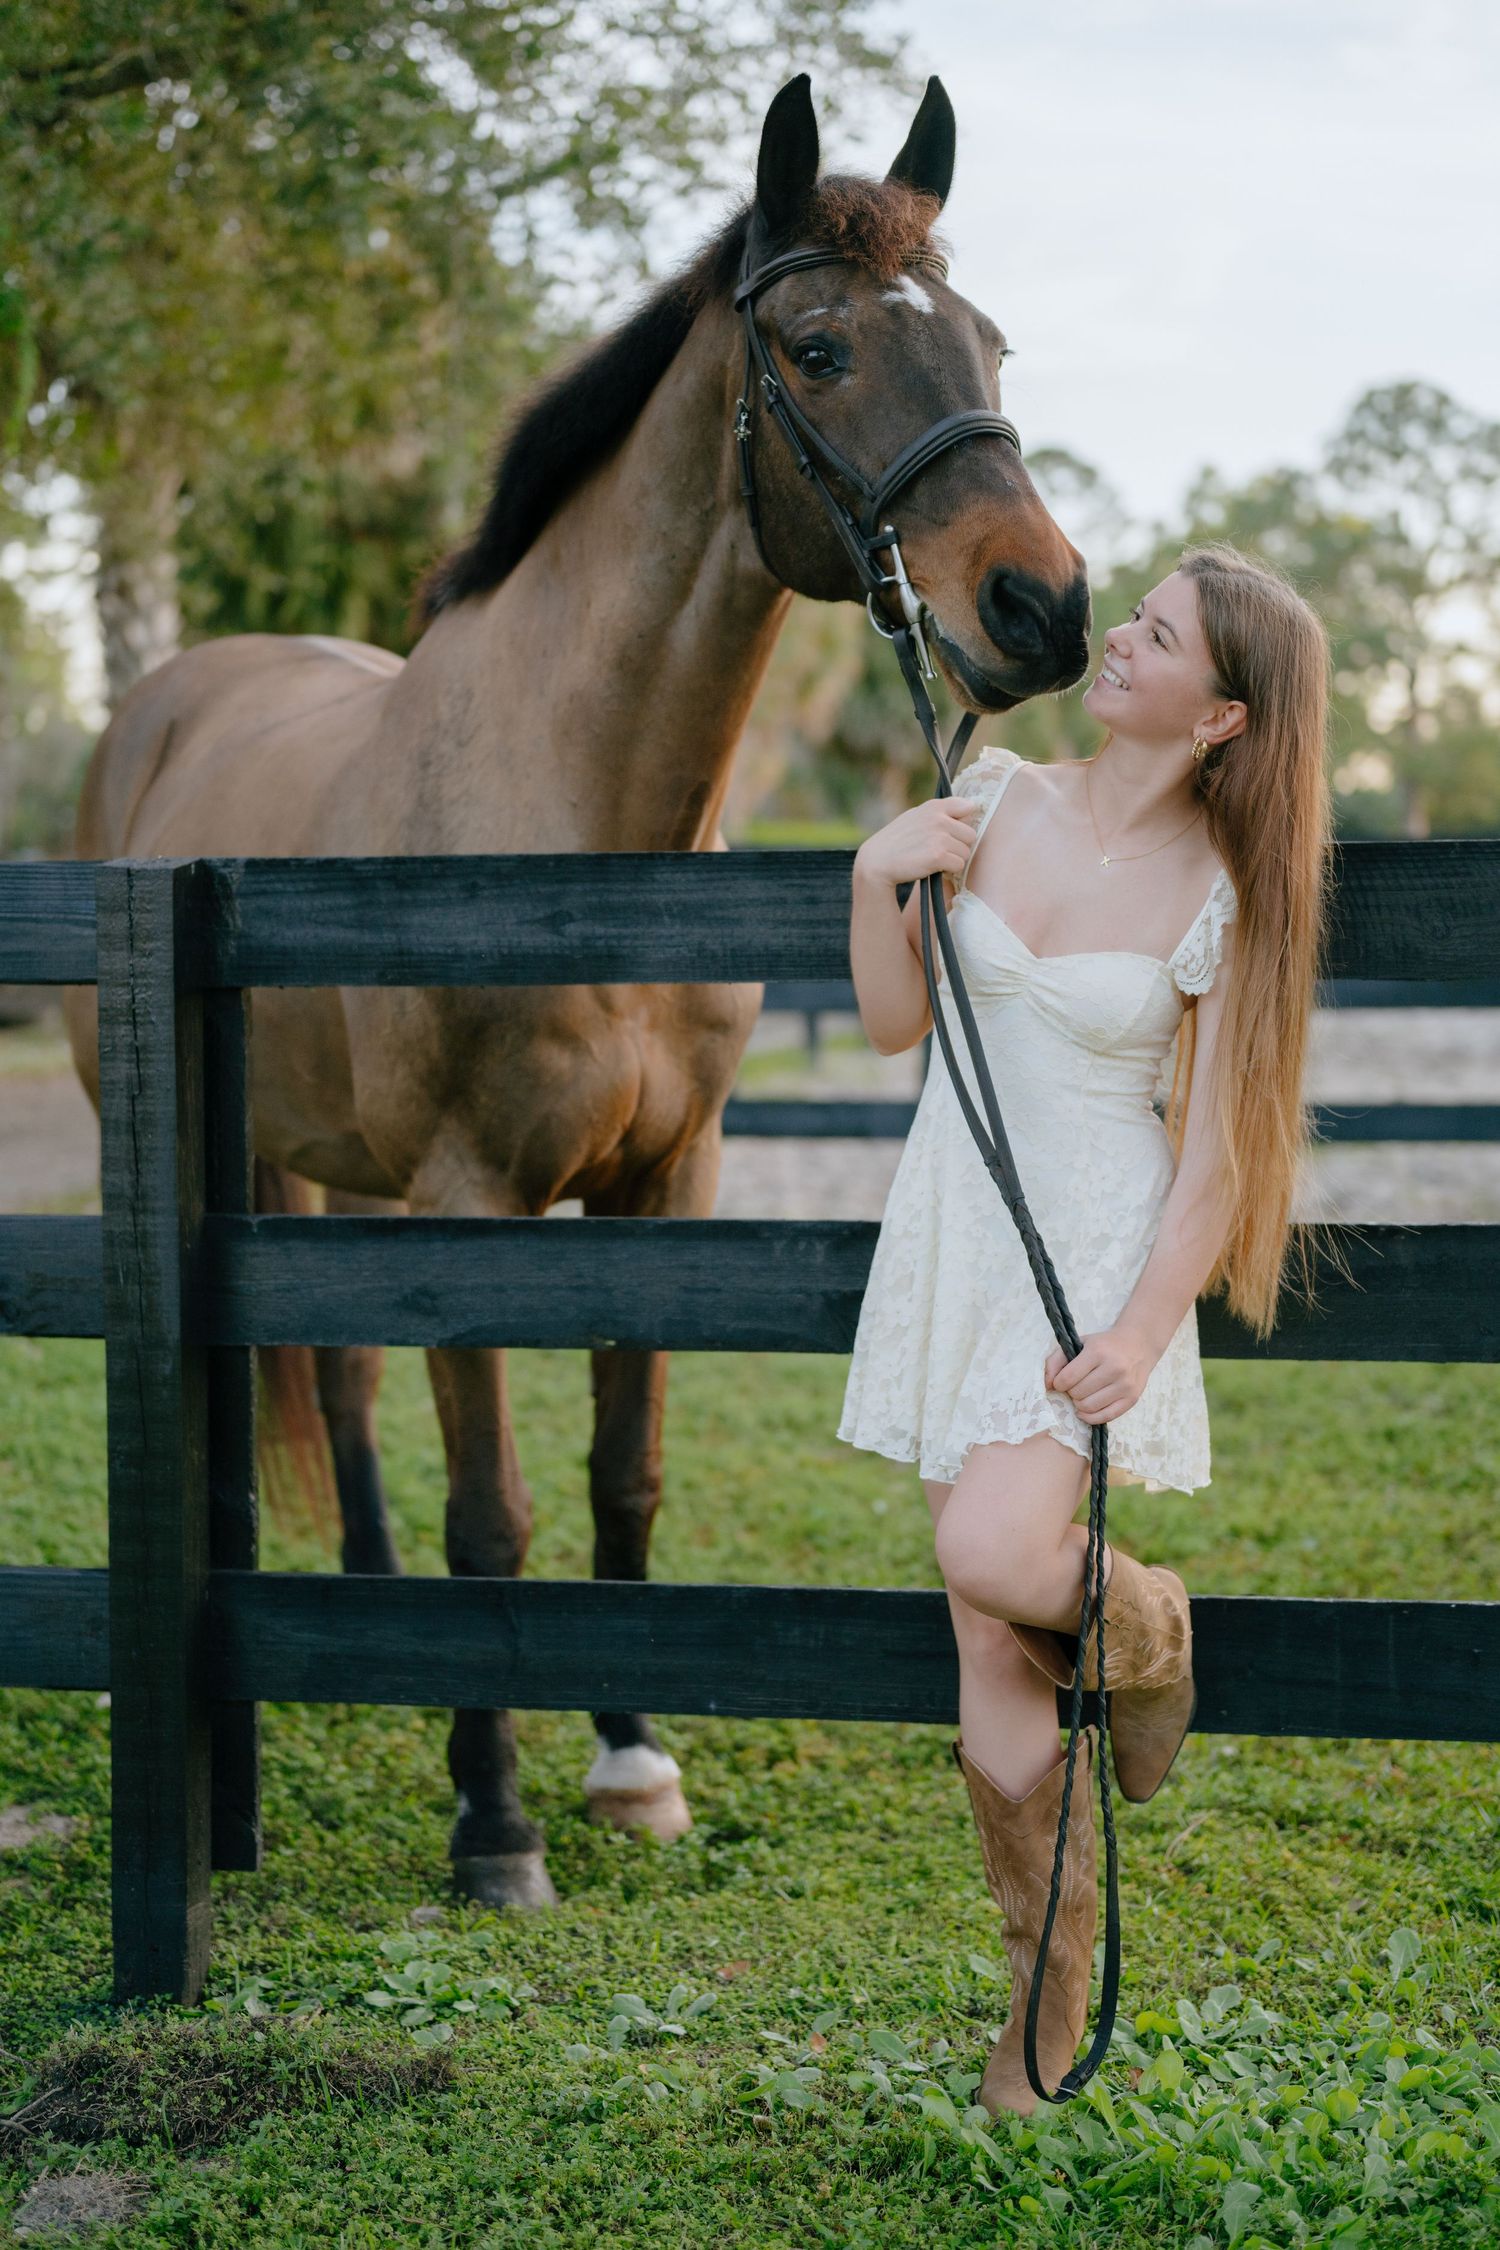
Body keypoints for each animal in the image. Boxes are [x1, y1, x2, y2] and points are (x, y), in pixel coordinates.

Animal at [63, 72, 1091, 1910]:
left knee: (343, 1385)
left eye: (987, 341)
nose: (1043, 606)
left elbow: (626, 1476)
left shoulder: (661, 1189)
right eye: (819, 347)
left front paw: (628, 1759)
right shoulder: (475, 1199)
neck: (575, 832)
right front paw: (495, 1823)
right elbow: (499, 1513)